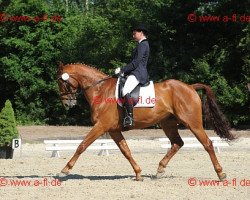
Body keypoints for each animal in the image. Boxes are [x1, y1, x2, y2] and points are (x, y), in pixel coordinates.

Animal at [56, 62, 234, 181]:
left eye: (61, 81)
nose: (67, 104)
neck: (101, 90)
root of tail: (190, 87)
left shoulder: (101, 126)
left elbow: (82, 145)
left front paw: (65, 169)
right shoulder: (113, 130)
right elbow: (126, 151)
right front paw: (138, 173)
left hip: (193, 123)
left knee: (207, 144)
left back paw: (221, 173)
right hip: (168, 123)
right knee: (177, 143)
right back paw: (160, 170)